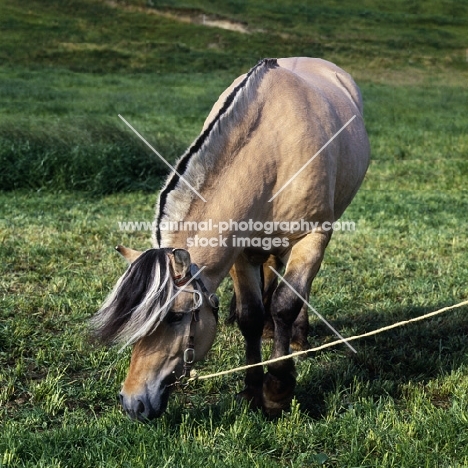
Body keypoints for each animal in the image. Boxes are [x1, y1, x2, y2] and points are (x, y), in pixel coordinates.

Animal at [91, 57, 370, 420]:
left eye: (176, 316)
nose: (132, 402)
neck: (273, 152)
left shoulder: (312, 238)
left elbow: (286, 304)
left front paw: (277, 391)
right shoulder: (240, 252)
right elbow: (250, 316)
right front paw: (253, 389)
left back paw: (296, 339)